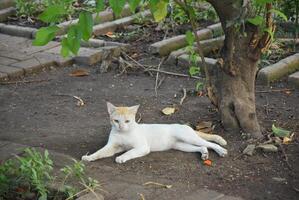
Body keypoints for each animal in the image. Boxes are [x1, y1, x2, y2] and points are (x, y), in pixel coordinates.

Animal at [82, 102, 227, 163]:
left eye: (127, 121)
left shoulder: (142, 147)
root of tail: (185, 126)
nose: (121, 127)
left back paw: (221, 151)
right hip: (182, 146)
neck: (123, 133)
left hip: (189, 138)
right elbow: (100, 152)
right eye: (116, 121)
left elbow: (130, 152)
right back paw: (204, 155)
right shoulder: (112, 147)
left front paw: (122, 158)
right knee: (202, 146)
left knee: (210, 144)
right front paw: (89, 157)